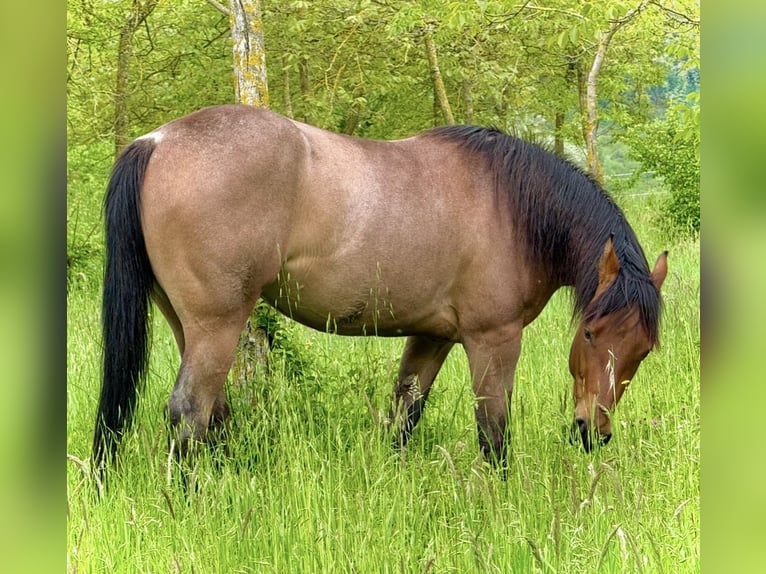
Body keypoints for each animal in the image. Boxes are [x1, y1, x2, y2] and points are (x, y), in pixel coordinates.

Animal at [92, 104, 667, 471]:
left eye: (642, 351)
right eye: (589, 334)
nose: (592, 432)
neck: (512, 205)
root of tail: (156, 142)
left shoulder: (432, 337)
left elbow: (404, 416)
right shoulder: (493, 340)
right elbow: (493, 432)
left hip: (189, 325)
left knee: (212, 412)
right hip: (218, 326)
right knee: (190, 413)